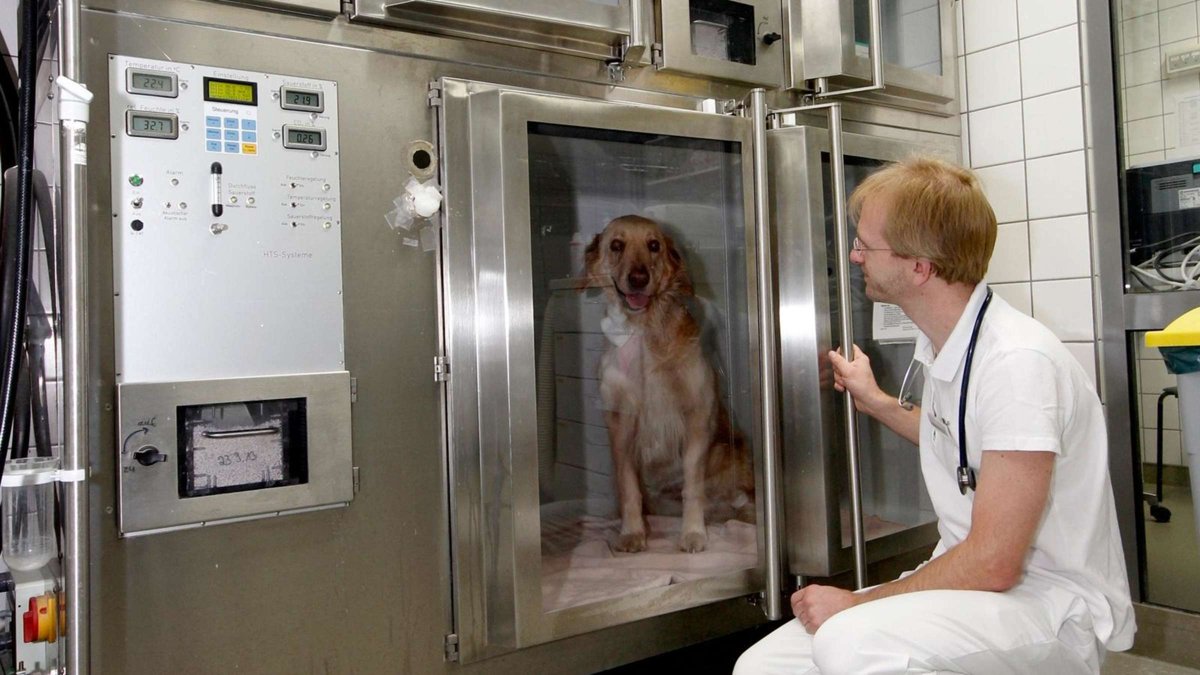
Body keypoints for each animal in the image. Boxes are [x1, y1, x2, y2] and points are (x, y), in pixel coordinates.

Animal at [580, 212, 748, 550]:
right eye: (616, 245)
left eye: (654, 245)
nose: (638, 278)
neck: (643, 330)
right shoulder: (620, 424)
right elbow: (628, 487)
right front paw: (632, 532)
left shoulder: (697, 416)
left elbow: (692, 487)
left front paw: (693, 532)